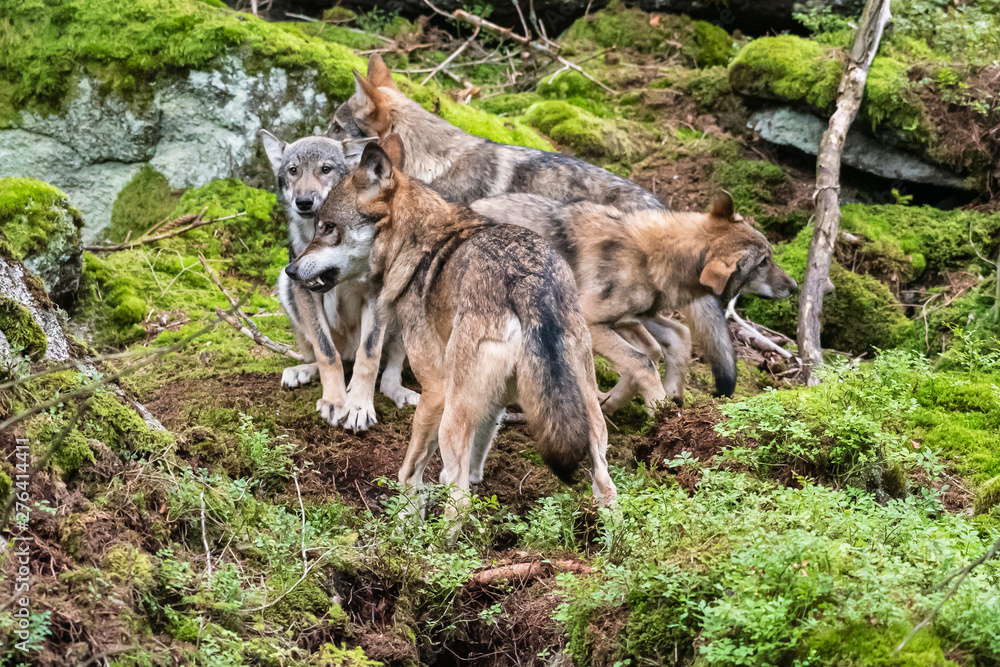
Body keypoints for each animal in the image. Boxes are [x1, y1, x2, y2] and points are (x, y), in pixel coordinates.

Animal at [260, 130, 419, 432]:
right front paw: (334, 401)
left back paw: (397, 391)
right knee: (330, 356)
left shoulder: (376, 294)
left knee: (387, 367)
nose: (304, 202)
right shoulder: (305, 287)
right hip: (287, 287)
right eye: (293, 171)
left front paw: (358, 406)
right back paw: (302, 371)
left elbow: (369, 355)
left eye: (325, 169)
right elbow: (326, 353)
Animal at [285, 136, 617, 526]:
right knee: (607, 489)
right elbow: (475, 458)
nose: (289, 270)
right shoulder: (495, 404)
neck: (415, 244)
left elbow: (410, 472)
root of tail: (528, 280)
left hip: (451, 414)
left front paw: (407, 520)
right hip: (589, 418)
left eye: (328, 227)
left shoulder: (434, 390)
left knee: (460, 501)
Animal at [328, 54, 740, 397]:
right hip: (630, 310)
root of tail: (657, 203)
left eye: (334, 127)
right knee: (676, 336)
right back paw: (667, 398)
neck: (430, 163)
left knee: (655, 346)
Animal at [472, 193, 798, 411]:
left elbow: (651, 354)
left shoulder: (626, 321)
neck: (652, 256)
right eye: (763, 263)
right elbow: (643, 361)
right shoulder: (593, 323)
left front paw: (619, 401)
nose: (795, 287)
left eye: (769, 257)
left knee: (680, 334)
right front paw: (659, 409)